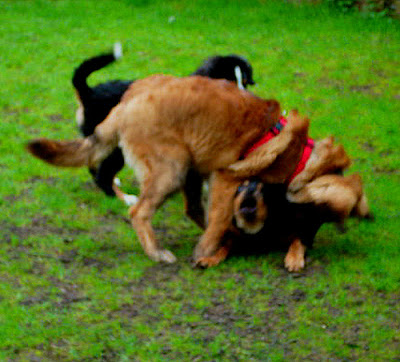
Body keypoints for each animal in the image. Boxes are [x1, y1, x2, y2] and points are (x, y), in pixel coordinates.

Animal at [27, 75, 312, 264]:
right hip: (171, 171)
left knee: (188, 207)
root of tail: (125, 105)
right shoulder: (226, 179)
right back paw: (155, 252)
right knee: (139, 212)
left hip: (185, 166)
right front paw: (207, 249)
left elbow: (206, 215)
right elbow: (219, 218)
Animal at [73, 43, 255, 204]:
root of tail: (89, 92)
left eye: (245, 82)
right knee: (103, 174)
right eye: (228, 83)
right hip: (117, 146)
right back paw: (122, 197)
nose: (246, 104)